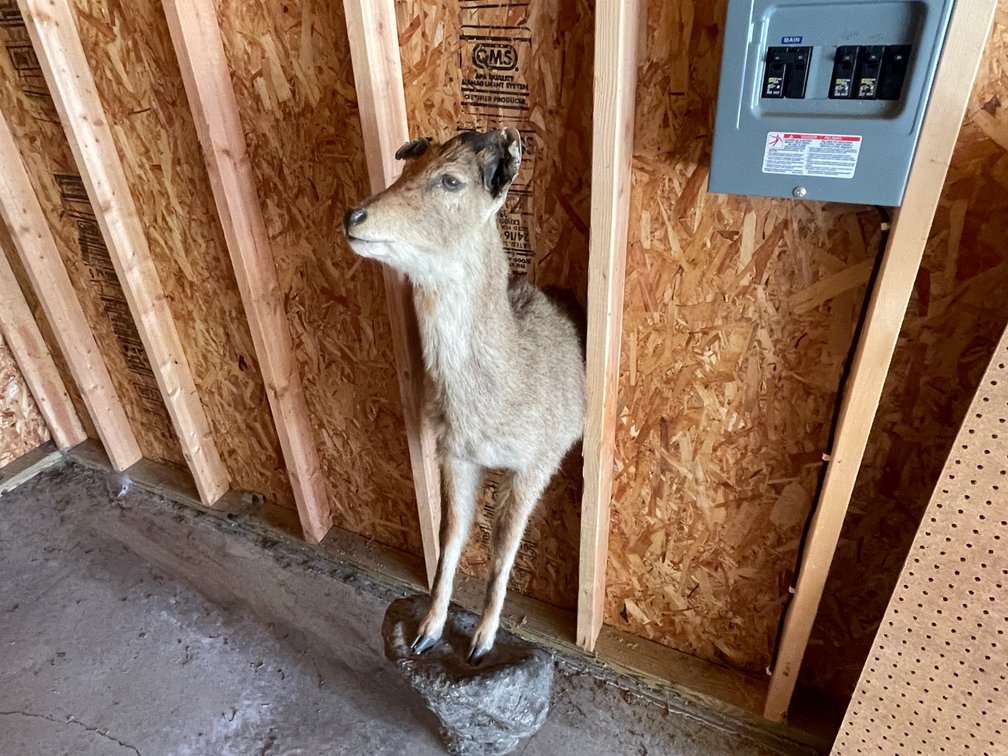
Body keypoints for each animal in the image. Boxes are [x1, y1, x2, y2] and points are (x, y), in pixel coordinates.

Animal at [344, 127, 586, 662]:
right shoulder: (452, 452)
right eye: (407, 169)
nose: (353, 217)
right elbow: (451, 533)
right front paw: (425, 633)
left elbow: (503, 545)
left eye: (451, 180)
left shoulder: (537, 461)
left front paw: (480, 643)